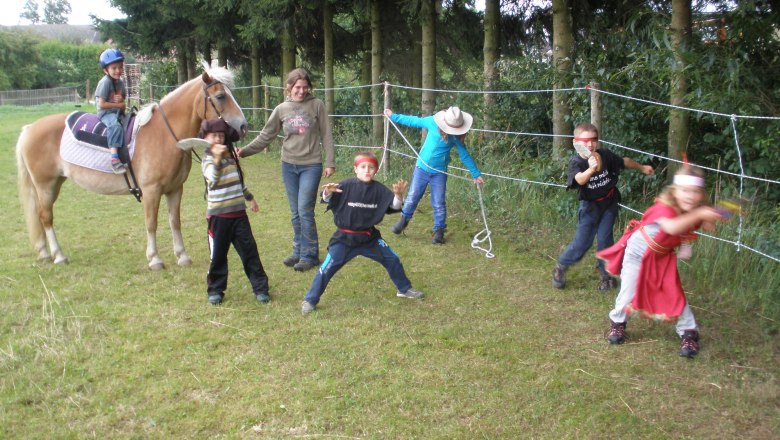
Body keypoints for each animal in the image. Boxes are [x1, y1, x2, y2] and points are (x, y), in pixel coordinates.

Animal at [16, 67, 247, 270]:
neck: (164, 135)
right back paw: (59, 256)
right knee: (46, 217)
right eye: (220, 96)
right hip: (45, 185)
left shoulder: (175, 189)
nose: (243, 126)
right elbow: (151, 223)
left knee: (40, 217)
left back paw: (45, 253)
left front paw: (182, 256)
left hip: (53, 184)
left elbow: (175, 222)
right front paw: (154, 259)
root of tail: (29, 129)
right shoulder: (152, 190)